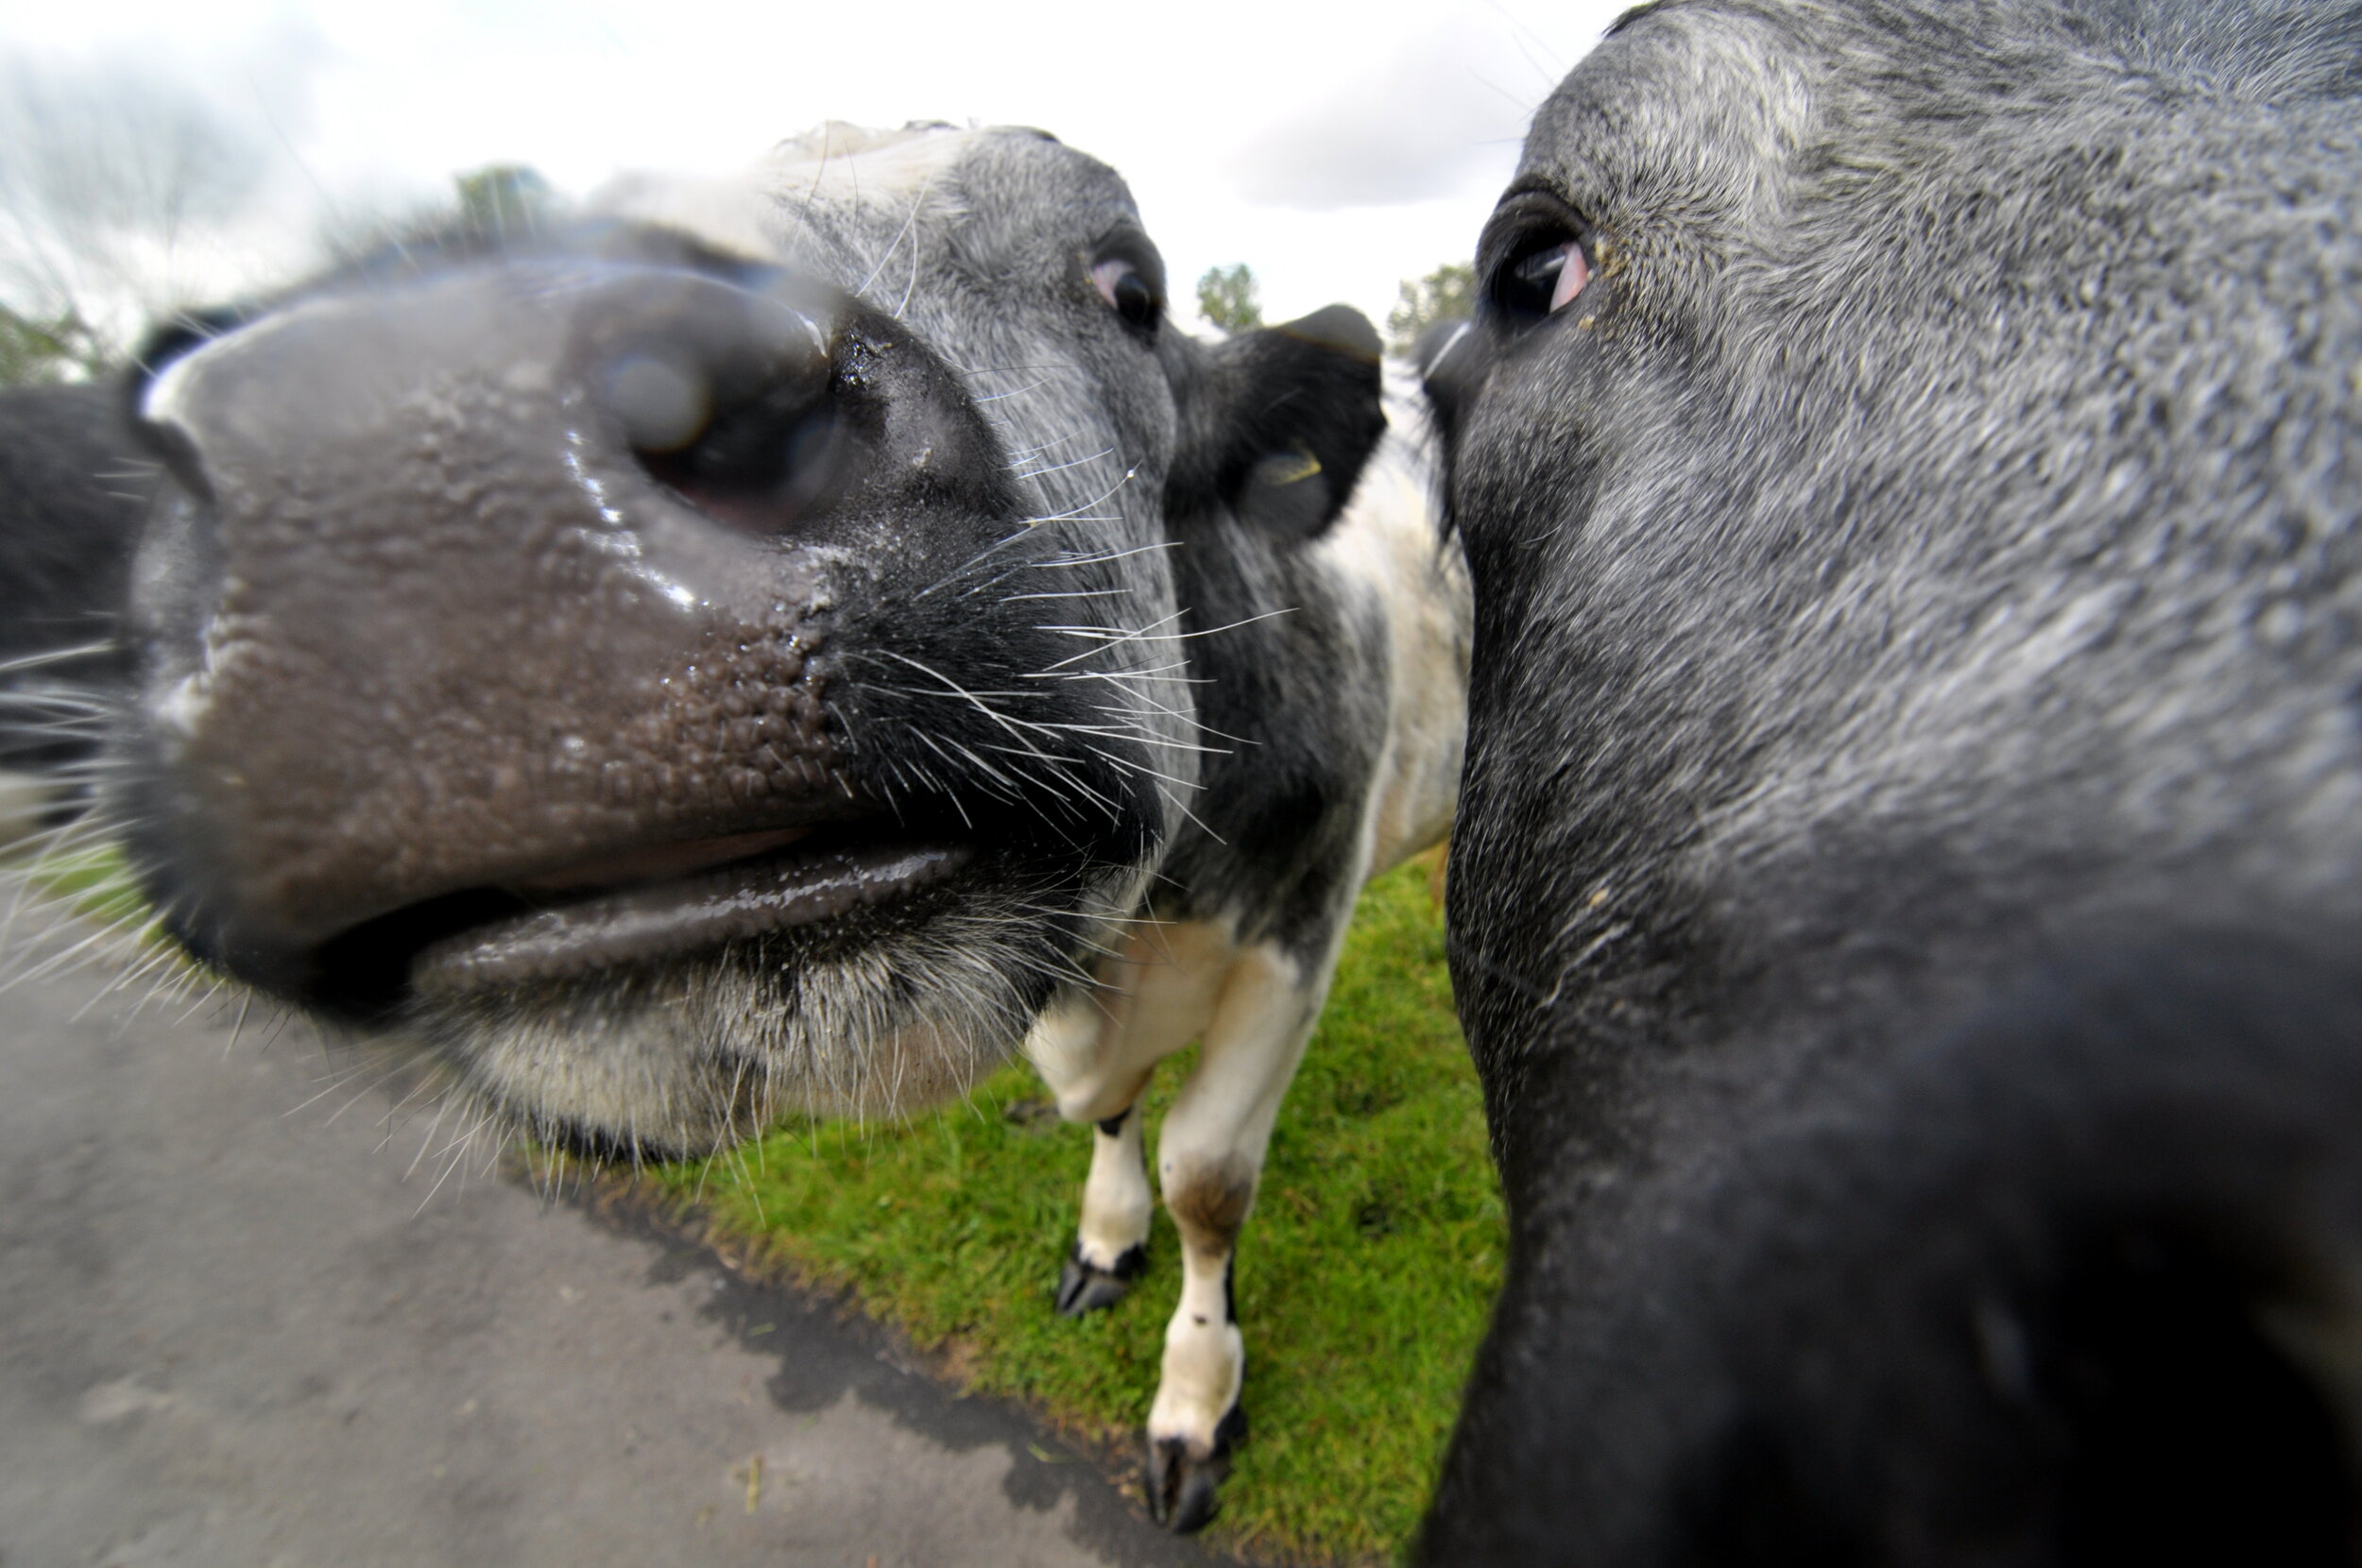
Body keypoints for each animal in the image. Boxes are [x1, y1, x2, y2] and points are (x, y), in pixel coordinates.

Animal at [90, 121, 1465, 1531]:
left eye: (1131, 289)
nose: (407, 443)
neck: (1142, 941)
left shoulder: (1297, 933)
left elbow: (1207, 1180)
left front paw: (1193, 1401)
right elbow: (1111, 1110)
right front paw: (1104, 1235)